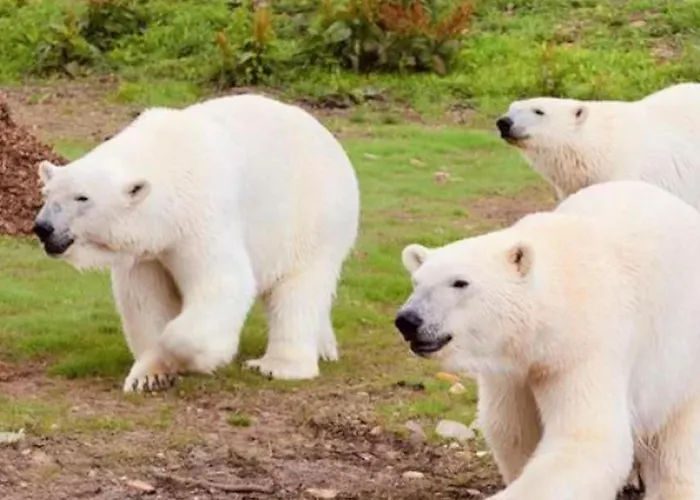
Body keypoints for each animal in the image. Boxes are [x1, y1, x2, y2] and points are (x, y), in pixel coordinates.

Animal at [33, 93, 360, 393]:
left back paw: (277, 366)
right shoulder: (146, 250)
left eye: (82, 197)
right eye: (47, 193)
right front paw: (149, 376)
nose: (43, 228)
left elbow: (222, 283)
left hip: (311, 217)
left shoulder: (200, 216)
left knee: (298, 288)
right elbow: (145, 300)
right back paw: (324, 347)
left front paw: (197, 358)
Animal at [395, 180, 700, 500]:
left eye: (460, 282)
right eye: (416, 281)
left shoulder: (587, 347)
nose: (408, 320)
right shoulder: (511, 369)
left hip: (680, 357)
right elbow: (511, 429)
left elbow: (585, 442)